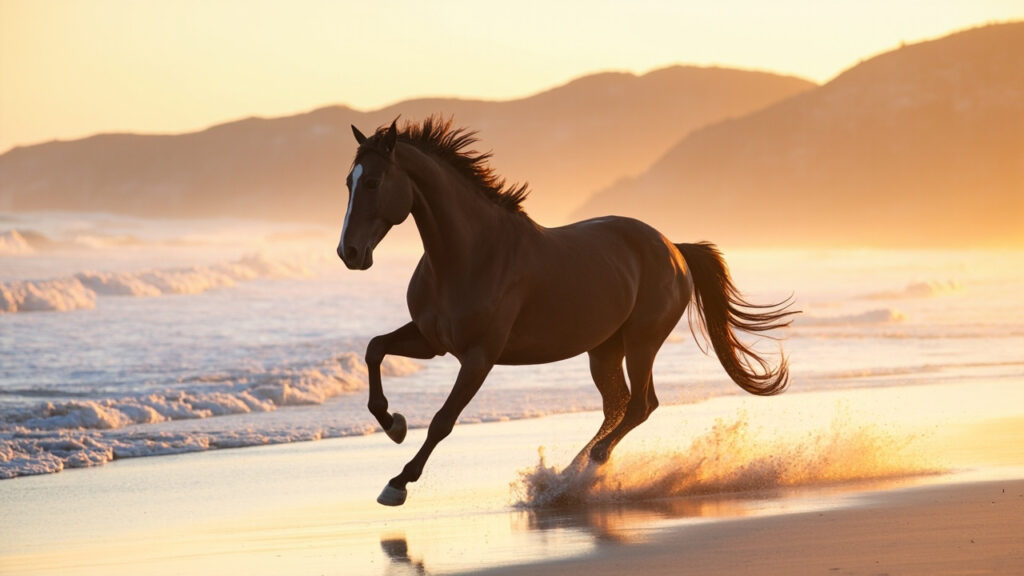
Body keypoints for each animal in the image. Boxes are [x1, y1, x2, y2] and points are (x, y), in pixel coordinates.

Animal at [337, 117, 796, 506]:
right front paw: (393, 423)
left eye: (374, 182)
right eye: (348, 182)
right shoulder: (431, 340)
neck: (469, 256)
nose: (349, 253)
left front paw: (397, 484)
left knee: (640, 405)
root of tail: (673, 248)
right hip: (604, 349)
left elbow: (442, 420)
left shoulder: (480, 356)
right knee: (618, 406)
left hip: (642, 342)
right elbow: (375, 349)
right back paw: (570, 473)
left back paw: (582, 470)